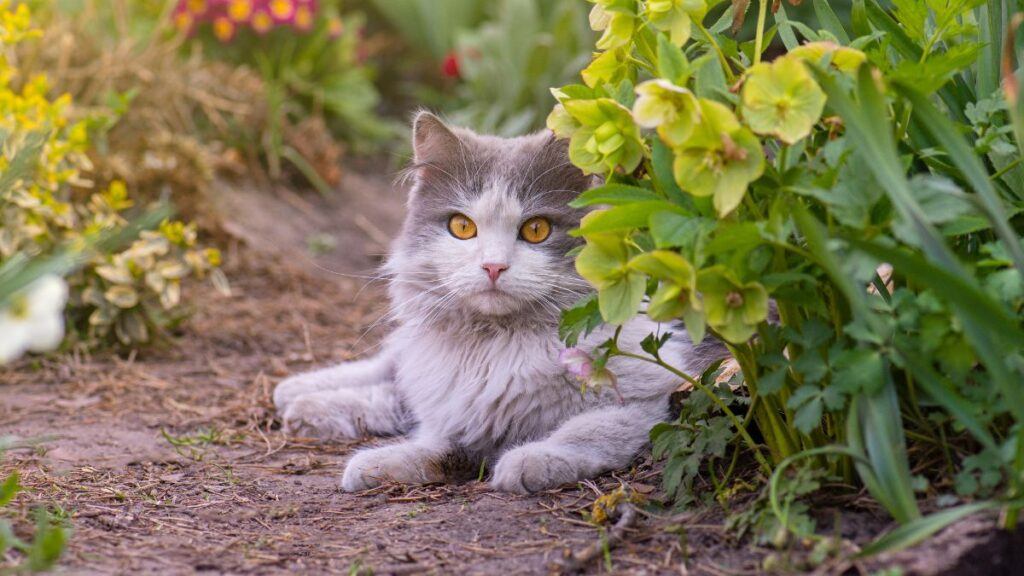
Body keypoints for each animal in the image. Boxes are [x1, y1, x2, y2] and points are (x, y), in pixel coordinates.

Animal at [270, 113, 720, 494]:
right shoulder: (460, 412)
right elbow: (435, 445)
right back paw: (296, 395)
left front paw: (531, 460)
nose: (493, 266)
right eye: (462, 227)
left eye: (536, 230)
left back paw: (301, 403)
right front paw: (375, 465)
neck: (494, 346)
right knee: (391, 372)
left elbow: (584, 431)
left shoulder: (648, 398)